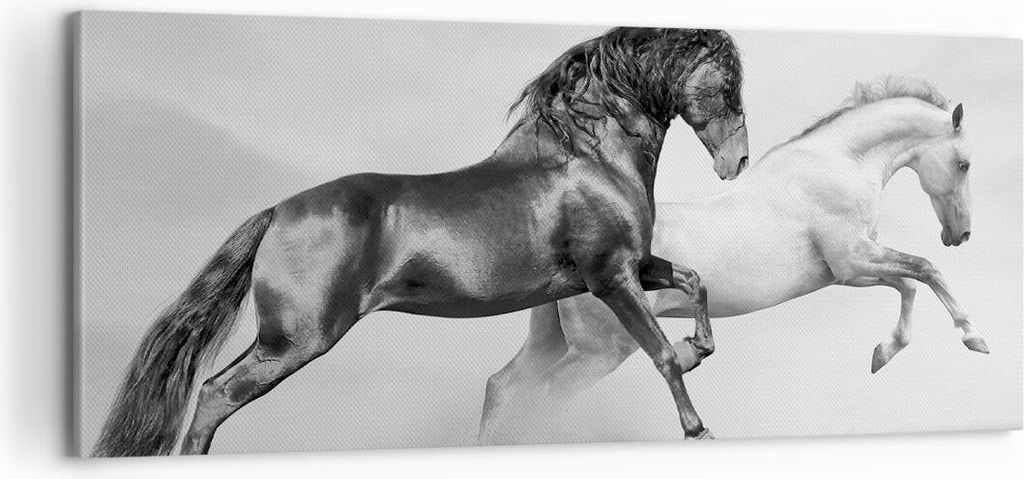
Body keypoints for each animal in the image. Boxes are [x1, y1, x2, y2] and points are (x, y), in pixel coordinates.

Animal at [92, 27, 750, 456]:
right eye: (727, 84)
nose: (736, 162)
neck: (588, 159)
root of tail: (278, 211)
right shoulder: (610, 277)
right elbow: (661, 354)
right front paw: (698, 429)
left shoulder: (634, 266)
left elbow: (695, 281)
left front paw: (699, 346)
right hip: (295, 341)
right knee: (213, 395)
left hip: (281, 340)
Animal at [479, 76, 989, 444]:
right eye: (963, 163)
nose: (960, 234)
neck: (838, 164)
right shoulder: (854, 263)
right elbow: (924, 271)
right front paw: (974, 338)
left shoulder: (853, 270)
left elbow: (910, 282)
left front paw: (883, 354)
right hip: (598, 353)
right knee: (541, 398)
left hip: (553, 342)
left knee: (502, 388)